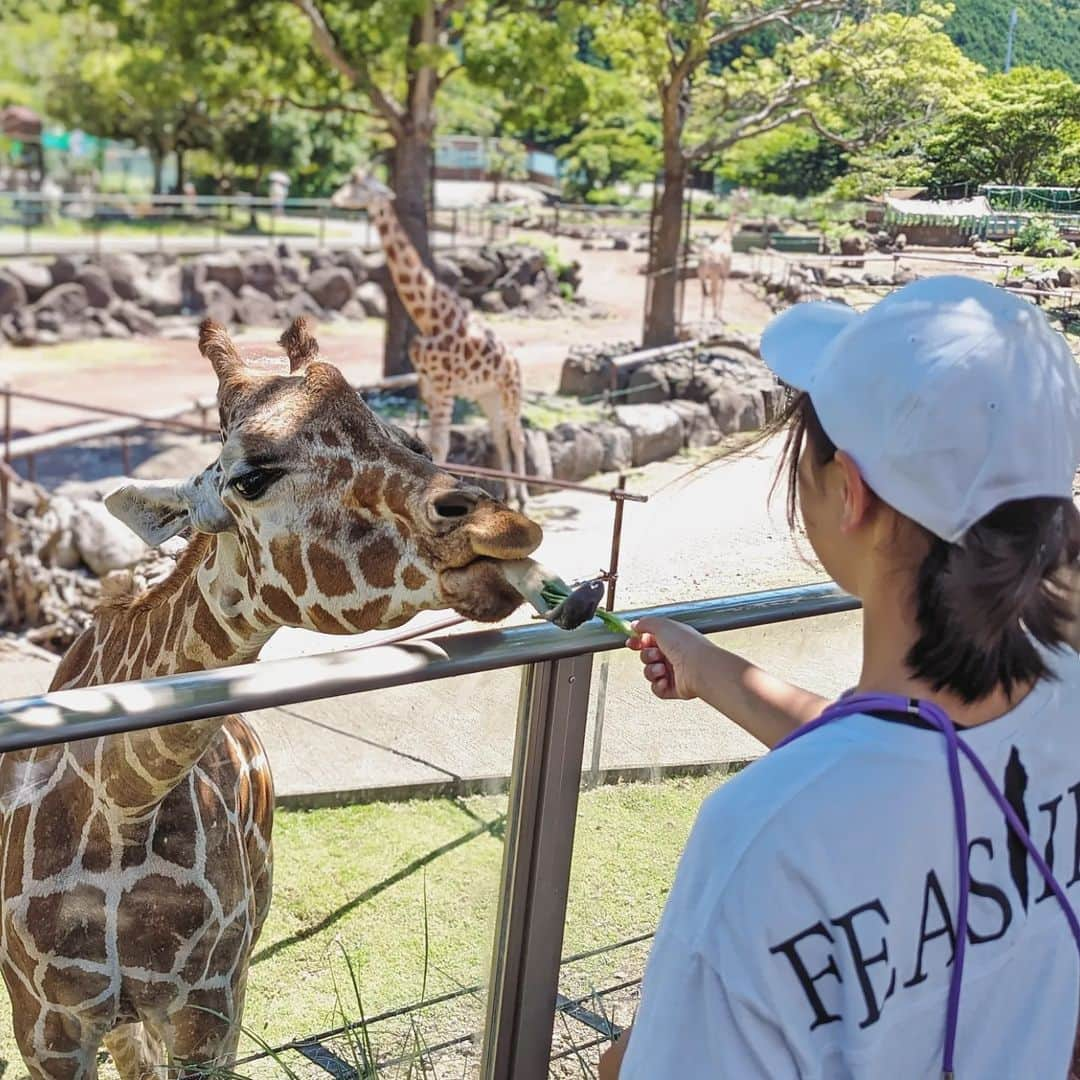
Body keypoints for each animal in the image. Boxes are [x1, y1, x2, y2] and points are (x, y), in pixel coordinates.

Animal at [0, 315, 544, 1080]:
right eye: (251, 477)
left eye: (413, 445)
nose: (504, 529)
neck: (120, 806)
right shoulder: (47, 1028)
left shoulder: (209, 1009)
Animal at [330, 171, 529, 509]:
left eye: (358, 184)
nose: (334, 199)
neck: (428, 315)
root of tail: (515, 360)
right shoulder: (428, 383)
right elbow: (428, 444)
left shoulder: (445, 385)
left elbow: (441, 443)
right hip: (486, 394)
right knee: (499, 435)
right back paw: (512, 497)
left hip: (509, 391)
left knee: (517, 436)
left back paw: (524, 497)